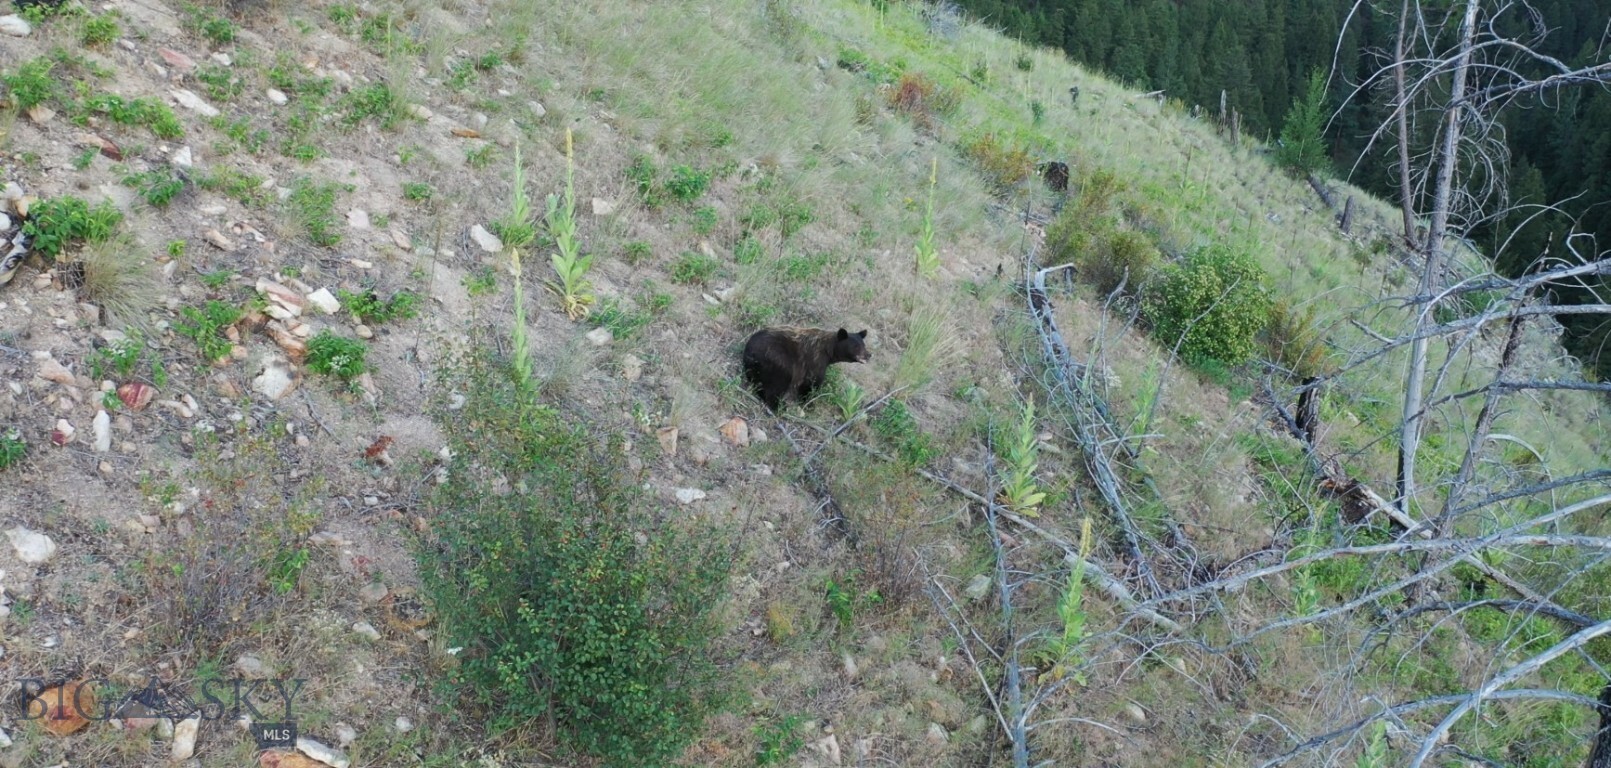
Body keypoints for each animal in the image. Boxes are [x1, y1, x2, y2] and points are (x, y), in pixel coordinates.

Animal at [741, 330, 869, 412]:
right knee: (778, 382)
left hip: (755, 368)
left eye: (864, 345)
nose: (869, 355)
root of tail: (750, 353)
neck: (829, 352)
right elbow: (812, 382)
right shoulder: (815, 361)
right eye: (856, 346)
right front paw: (809, 404)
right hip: (777, 359)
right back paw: (778, 407)